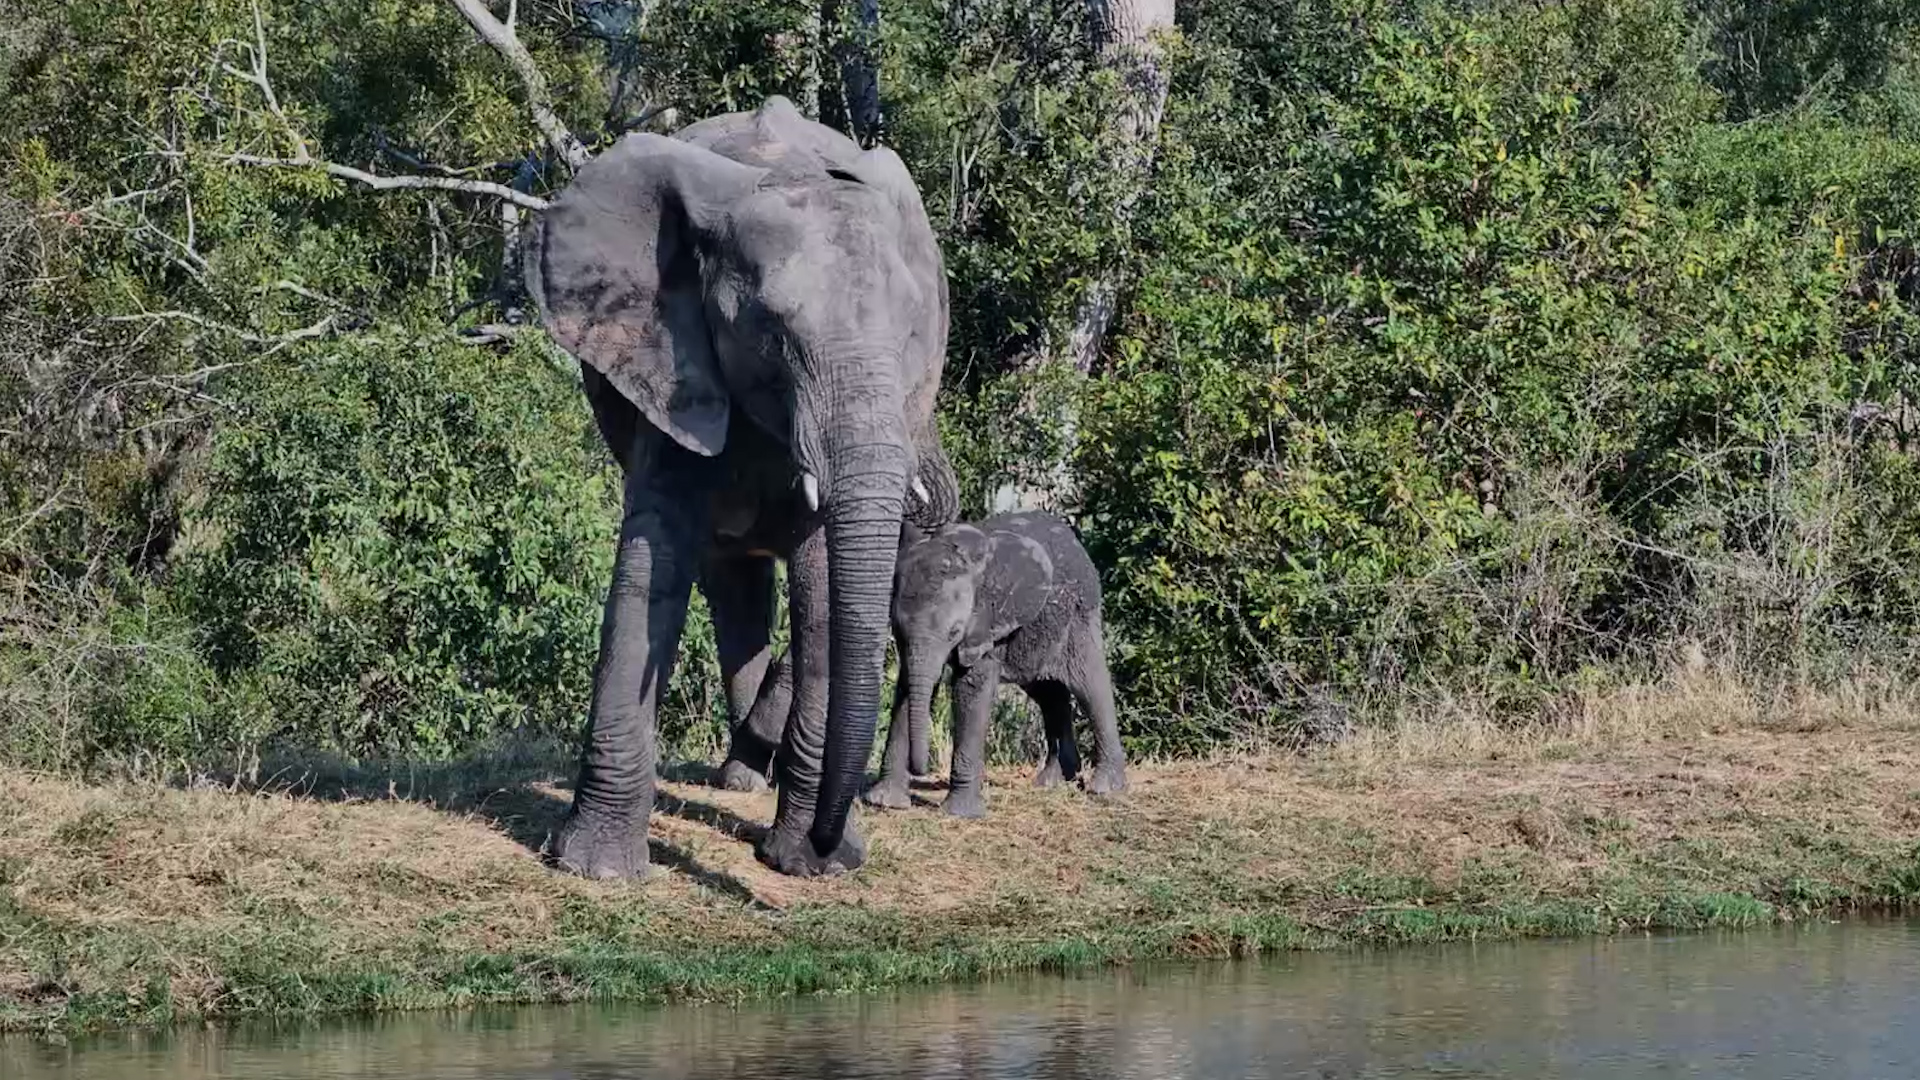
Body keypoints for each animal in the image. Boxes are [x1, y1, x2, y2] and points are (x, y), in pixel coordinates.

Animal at [528, 96, 959, 879]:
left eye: (917, 337)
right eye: (771, 332)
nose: (831, 844)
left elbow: (824, 591)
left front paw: (809, 862)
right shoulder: (674, 356)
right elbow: (653, 563)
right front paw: (596, 870)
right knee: (732, 585)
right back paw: (742, 776)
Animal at [861, 510, 1128, 817]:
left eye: (955, 631)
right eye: (897, 628)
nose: (921, 770)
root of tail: (1075, 541)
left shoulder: (988, 621)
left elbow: (970, 689)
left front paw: (960, 813)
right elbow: (907, 689)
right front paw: (884, 802)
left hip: (1080, 615)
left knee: (1090, 684)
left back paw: (1105, 788)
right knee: (1049, 694)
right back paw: (1052, 781)